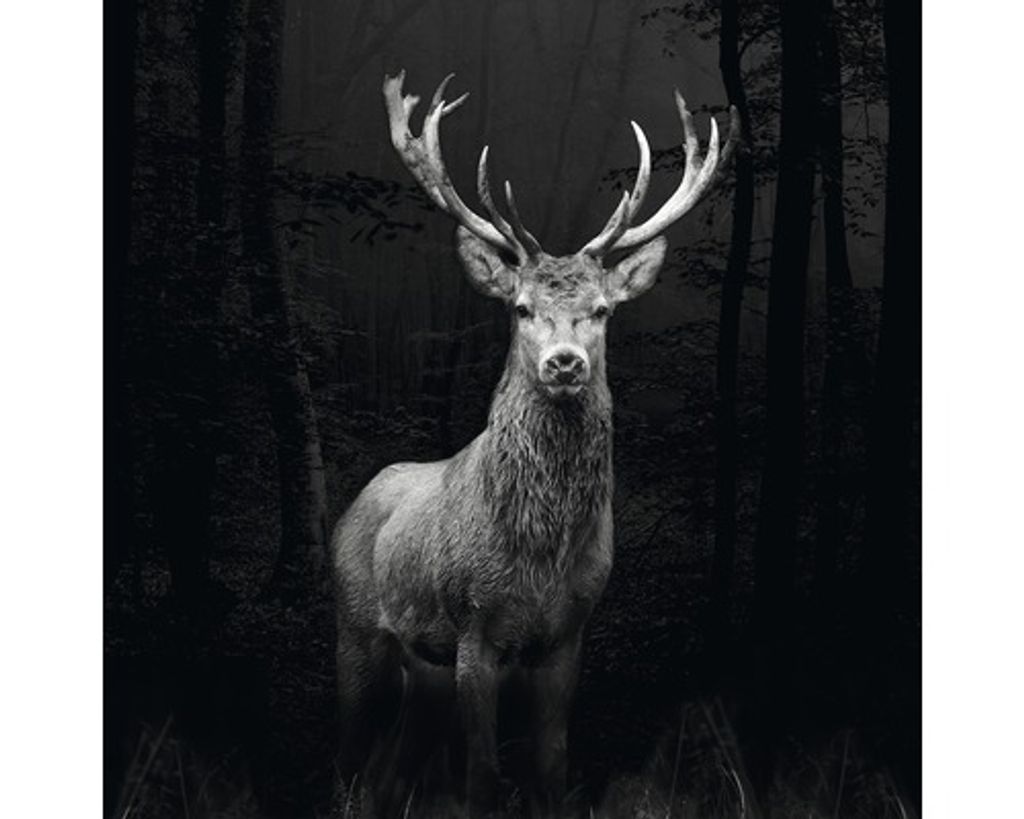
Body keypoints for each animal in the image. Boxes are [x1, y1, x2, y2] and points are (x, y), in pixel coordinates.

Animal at [330, 70, 738, 817]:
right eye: (521, 308)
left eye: (601, 310)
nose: (565, 363)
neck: (538, 558)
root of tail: (353, 503)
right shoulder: (473, 625)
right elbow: (483, 777)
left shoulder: (569, 633)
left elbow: (551, 767)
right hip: (357, 627)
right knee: (348, 758)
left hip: (422, 665)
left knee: (388, 771)